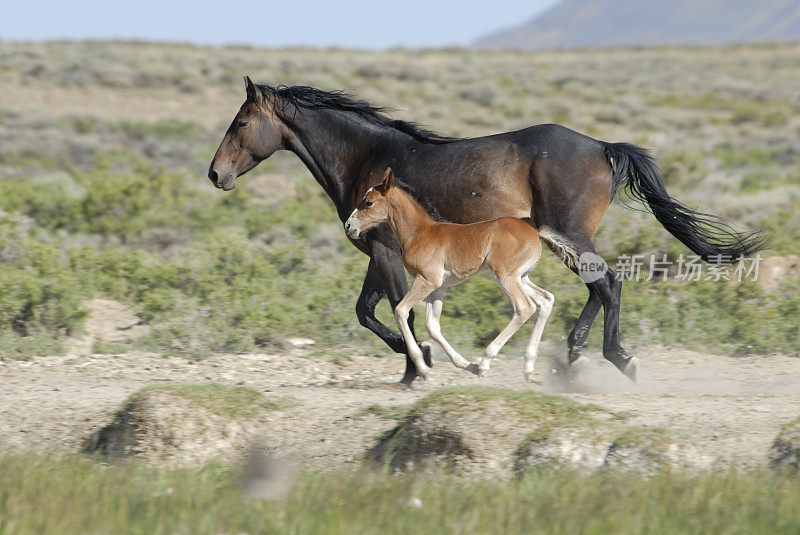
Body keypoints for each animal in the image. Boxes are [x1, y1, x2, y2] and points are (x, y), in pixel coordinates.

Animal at [346, 170, 552, 384]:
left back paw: (486, 362)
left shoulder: (426, 281)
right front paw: (467, 365)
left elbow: (401, 311)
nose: (348, 225)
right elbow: (432, 326)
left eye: (368, 202)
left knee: (524, 307)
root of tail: (535, 232)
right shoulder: (438, 288)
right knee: (545, 300)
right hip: (521, 277)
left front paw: (423, 368)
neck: (419, 233)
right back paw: (527, 367)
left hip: (505, 276)